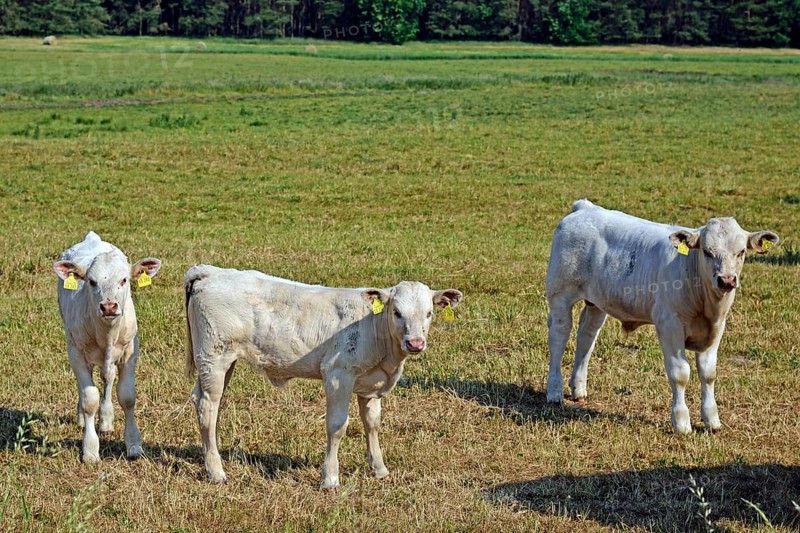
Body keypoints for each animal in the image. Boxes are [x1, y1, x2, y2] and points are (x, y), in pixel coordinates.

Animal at [53, 232, 161, 462]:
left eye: (124, 279)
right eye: (91, 281)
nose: (109, 306)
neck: (106, 334)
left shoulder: (130, 351)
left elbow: (127, 396)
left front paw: (134, 444)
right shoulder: (76, 352)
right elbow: (89, 398)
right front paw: (90, 449)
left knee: (108, 377)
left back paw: (106, 419)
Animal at [184, 265, 463, 487]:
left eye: (429, 313)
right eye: (397, 312)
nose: (415, 343)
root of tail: (210, 271)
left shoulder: (370, 384)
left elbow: (372, 423)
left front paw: (379, 469)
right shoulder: (338, 375)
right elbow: (337, 426)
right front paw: (330, 478)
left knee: (200, 400)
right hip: (214, 358)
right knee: (209, 407)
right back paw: (217, 472)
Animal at [545, 200, 779, 433]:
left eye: (741, 252)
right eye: (707, 251)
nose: (727, 280)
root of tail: (585, 207)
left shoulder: (717, 328)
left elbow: (708, 373)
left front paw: (712, 419)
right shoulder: (669, 325)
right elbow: (680, 373)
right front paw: (681, 422)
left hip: (596, 302)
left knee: (587, 336)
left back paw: (578, 388)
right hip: (560, 295)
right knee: (559, 336)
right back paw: (554, 391)